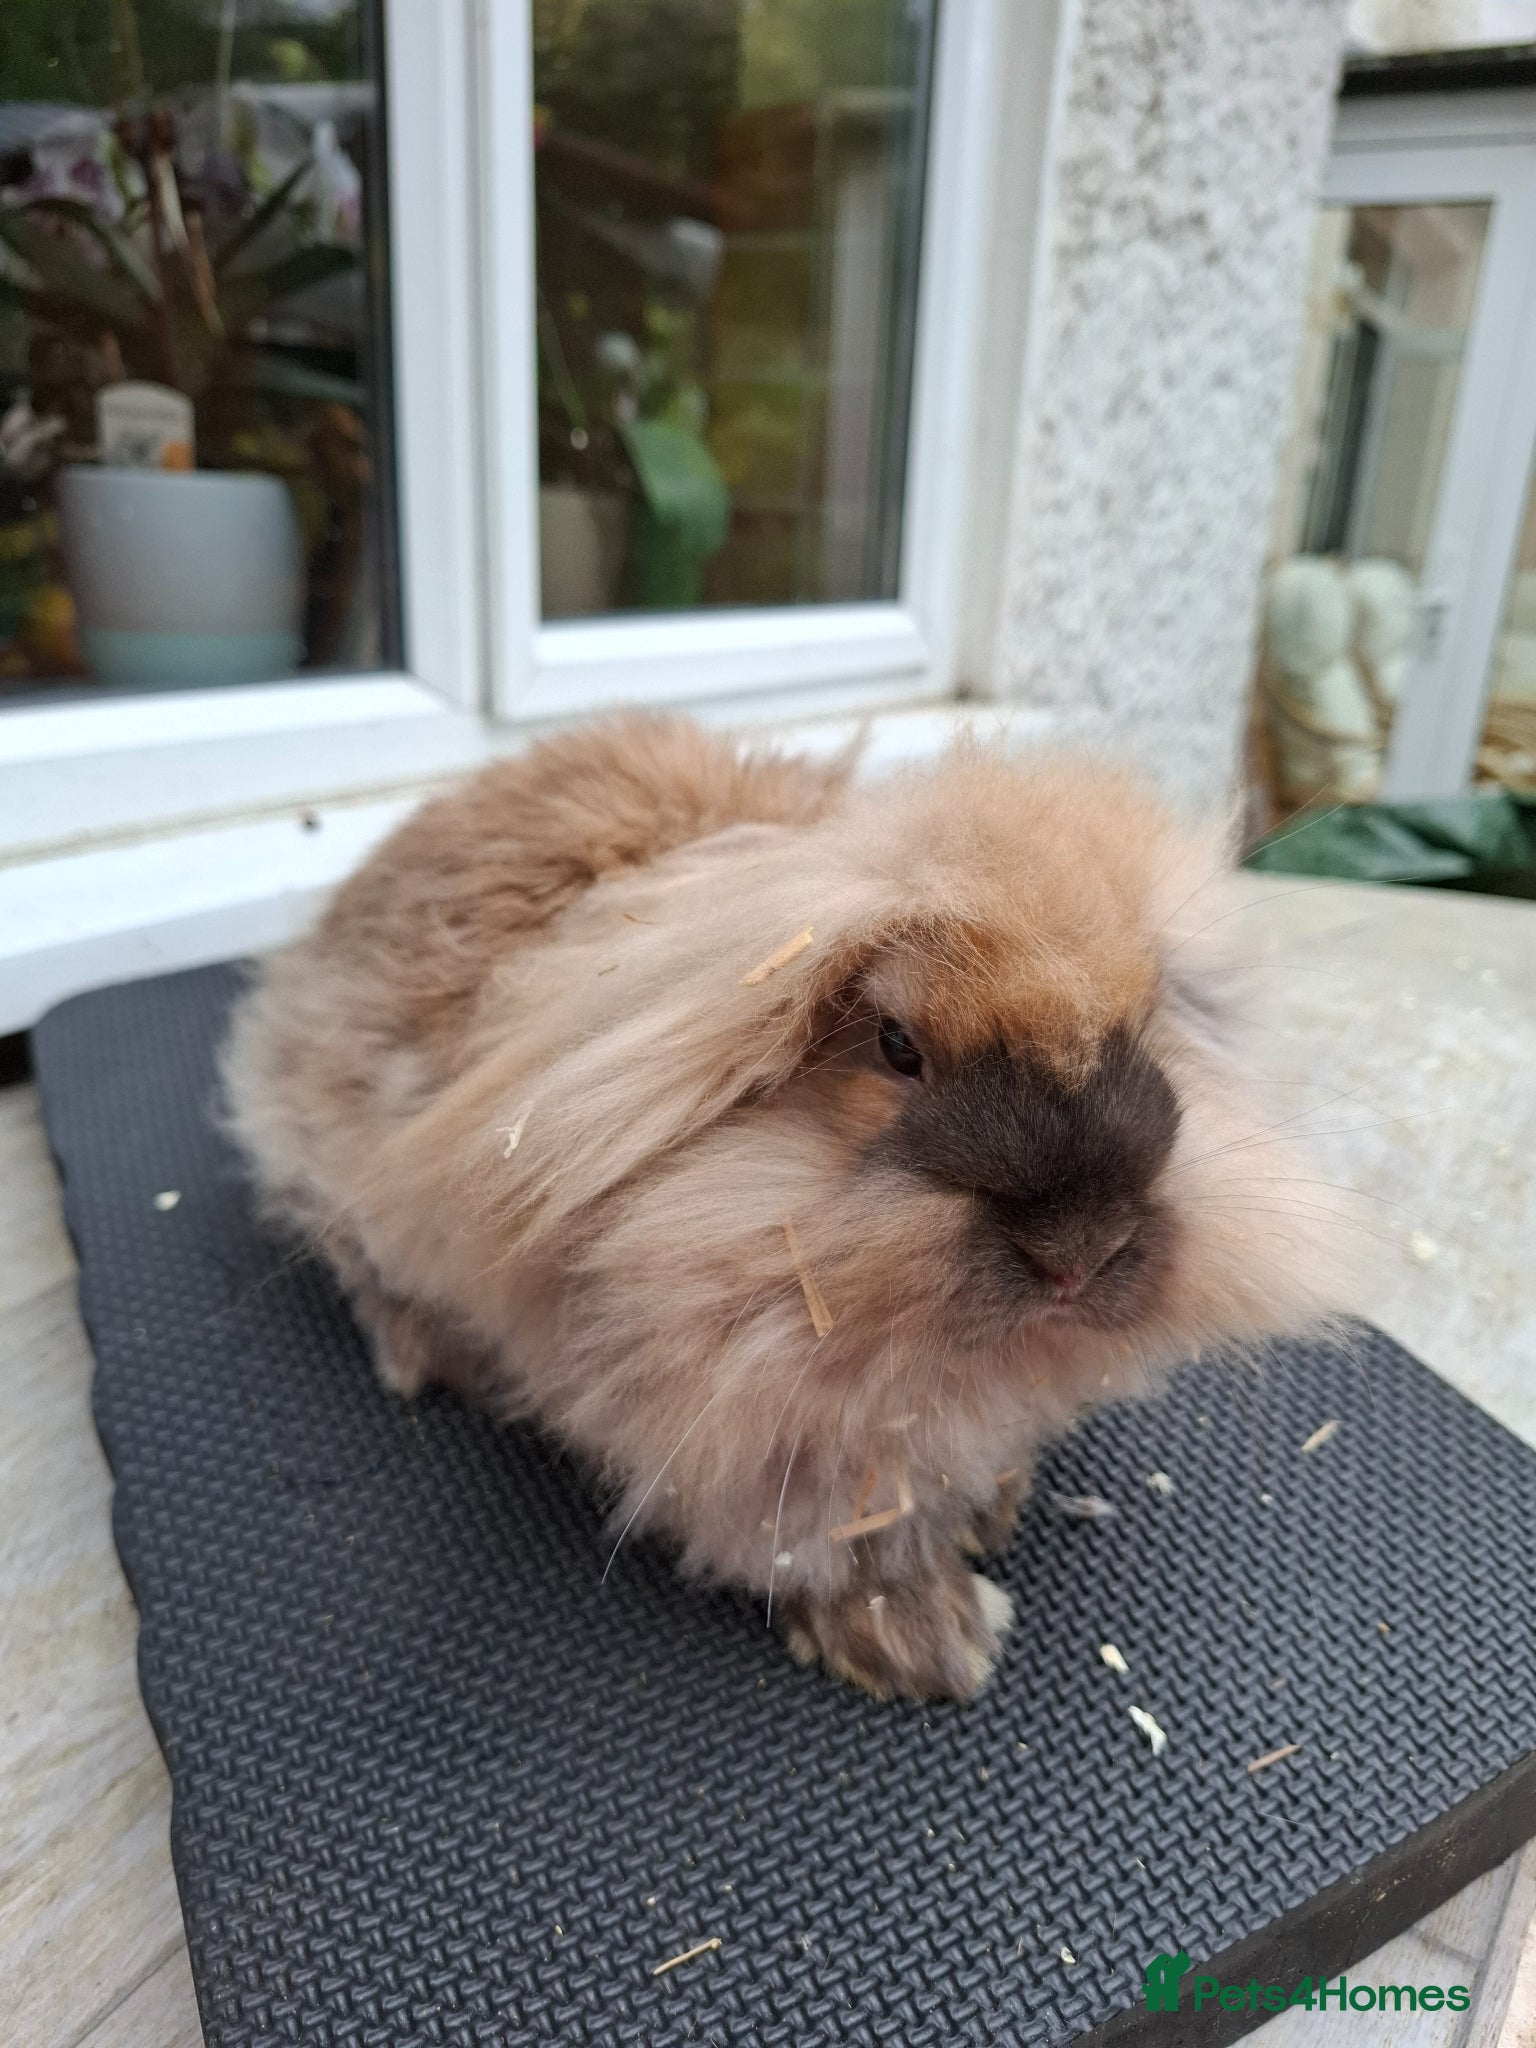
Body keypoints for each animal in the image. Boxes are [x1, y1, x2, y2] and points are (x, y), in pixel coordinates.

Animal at [223, 712, 1346, 1704]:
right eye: (896, 1045)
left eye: (1148, 1022)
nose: (1080, 1252)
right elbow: (815, 1538)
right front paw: (925, 1640)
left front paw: (991, 1506)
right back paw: (429, 1359)